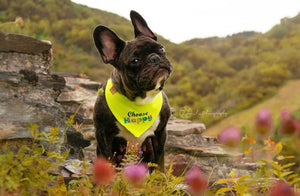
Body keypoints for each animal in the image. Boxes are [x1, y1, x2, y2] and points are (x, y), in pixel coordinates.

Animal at [92, 10, 172, 170]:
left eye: (161, 49)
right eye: (135, 61)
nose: (155, 58)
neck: (141, 100)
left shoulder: (160, 134)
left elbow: (159, 162)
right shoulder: (104, 135)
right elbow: (107, 160)